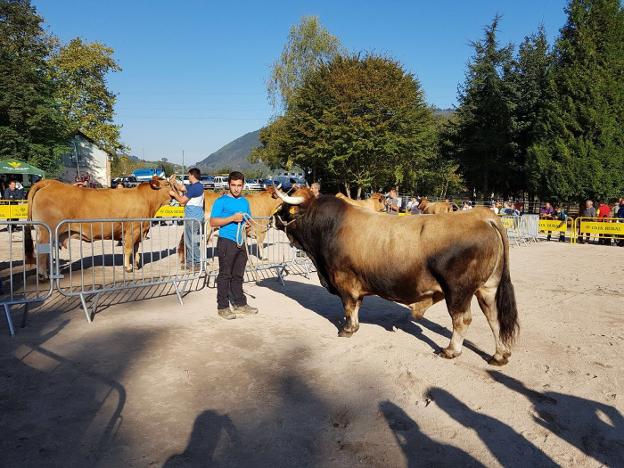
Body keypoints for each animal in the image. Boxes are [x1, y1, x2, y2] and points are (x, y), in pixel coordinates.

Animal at [25, 176, 178, 278]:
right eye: (167, 183)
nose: (180, 191)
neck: (147, 200)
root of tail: (50, 182)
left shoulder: (139, 232)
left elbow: (135, 250)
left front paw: (135, 265)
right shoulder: (132, 230)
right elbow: (128, 249)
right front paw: (128, 268)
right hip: (46, 231)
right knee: (42, 252)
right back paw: (43, 275)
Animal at [276, 186, 520, 366]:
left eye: (286, 207)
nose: (275, 216)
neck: (330, 227)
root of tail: (482, 216)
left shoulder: (344, 280)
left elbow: (349, 307)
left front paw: (347, 329)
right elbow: (356, 306)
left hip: (458, 291)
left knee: (462, 319)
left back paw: (451, 350)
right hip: (487, 288)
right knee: (494, 317)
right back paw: (500, 355)